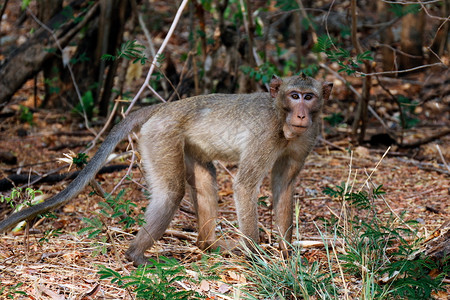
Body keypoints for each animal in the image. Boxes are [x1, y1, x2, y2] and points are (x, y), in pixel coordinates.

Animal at [0, 74, 330, 264]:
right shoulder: (265, 134)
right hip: (161, 136)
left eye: (309, 97)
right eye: (294, 95)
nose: (301, 114)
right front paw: (256, 255)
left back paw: (207, 245)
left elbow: (284, 186)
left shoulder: (308, 137)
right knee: (172, 192)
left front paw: (286, 251)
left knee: (204, 181)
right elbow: (245, 185)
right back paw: (136, 255)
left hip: (186, 144)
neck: (282, 118)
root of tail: (164, 107)